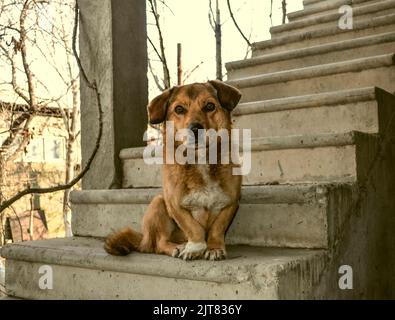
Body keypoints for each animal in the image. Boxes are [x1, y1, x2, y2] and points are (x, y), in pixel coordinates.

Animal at [103, 80, 243, 260]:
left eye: (210, 106)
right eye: (179, 109)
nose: (195, 128)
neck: (200, 160)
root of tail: (143, 239)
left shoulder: (231, 203)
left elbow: (217, 229)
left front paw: (214, 248)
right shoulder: (174, 205)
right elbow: (193, 228)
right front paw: (194, 248)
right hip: (158, 203)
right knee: (158, 243)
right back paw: (176, 247)